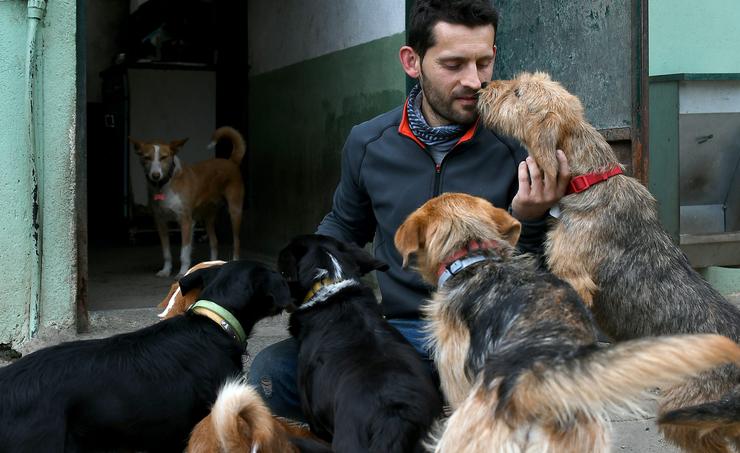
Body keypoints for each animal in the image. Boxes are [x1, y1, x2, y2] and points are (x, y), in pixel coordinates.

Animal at [130, 125, 246, 278]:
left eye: (164, 157)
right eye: (146, 158)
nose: (155, 175)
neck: (166, 184)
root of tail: (231, 161)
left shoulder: (186, 221)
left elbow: (184, 253)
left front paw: (182, 272)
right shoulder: (160, 222)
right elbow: (166, 253)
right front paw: (166, 270)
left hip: (235, 212)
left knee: (237, 242)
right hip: (208, 217)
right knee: (214, 242)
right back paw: (210, 264)